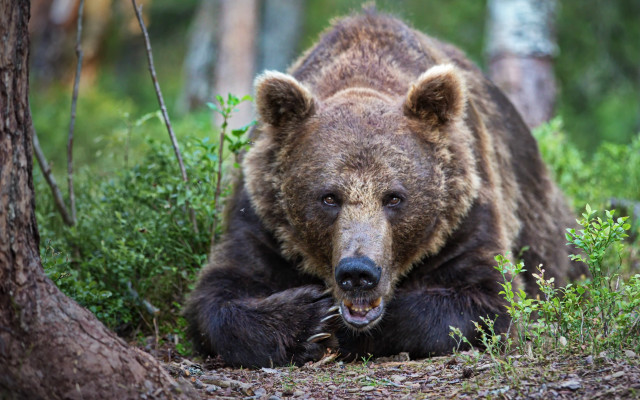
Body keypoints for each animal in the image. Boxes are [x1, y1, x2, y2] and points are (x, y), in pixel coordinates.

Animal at [184, 10, 585, 368]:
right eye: (329, 197)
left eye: (394, 197)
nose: (358, 273)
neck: (364, 71)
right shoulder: (263, 219)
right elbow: (218, 293)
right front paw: (310, 317)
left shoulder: (465, 210)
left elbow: (487, 298)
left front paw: (341, 330)